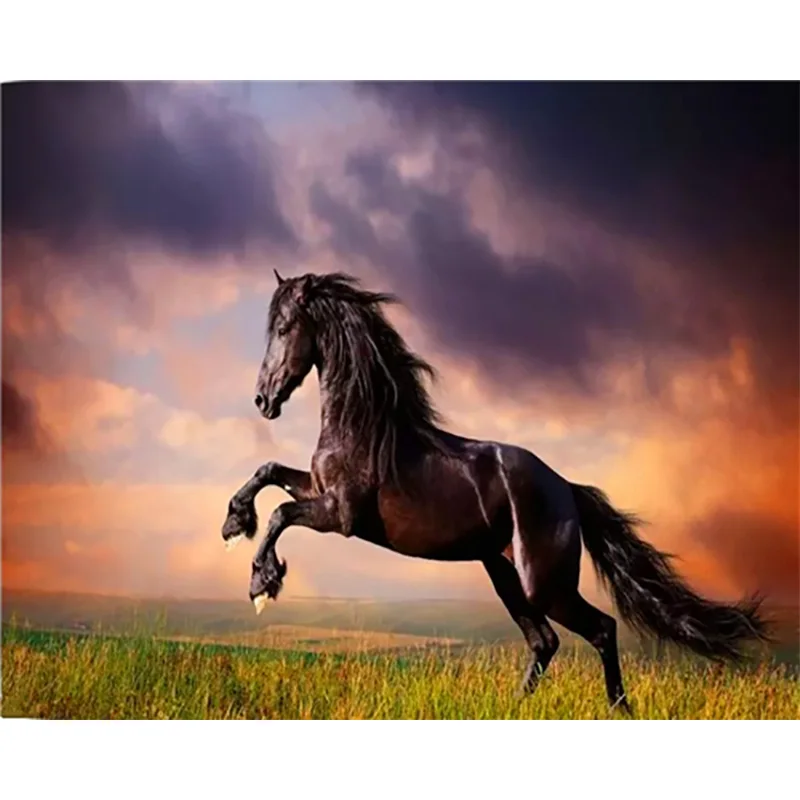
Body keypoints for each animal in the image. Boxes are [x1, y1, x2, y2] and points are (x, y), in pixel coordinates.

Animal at [221, 270, 768, 711]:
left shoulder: (341, 516)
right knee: (544, 642)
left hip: (543, 583)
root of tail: (567, 490)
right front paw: (234, 523)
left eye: (285, 329)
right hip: (504, 574)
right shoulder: (319, 488)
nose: (263, 399)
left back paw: (619, 708)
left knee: (599, 629)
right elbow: (269, 471)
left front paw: (262, 584)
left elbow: (281, 513)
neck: (365, 428)